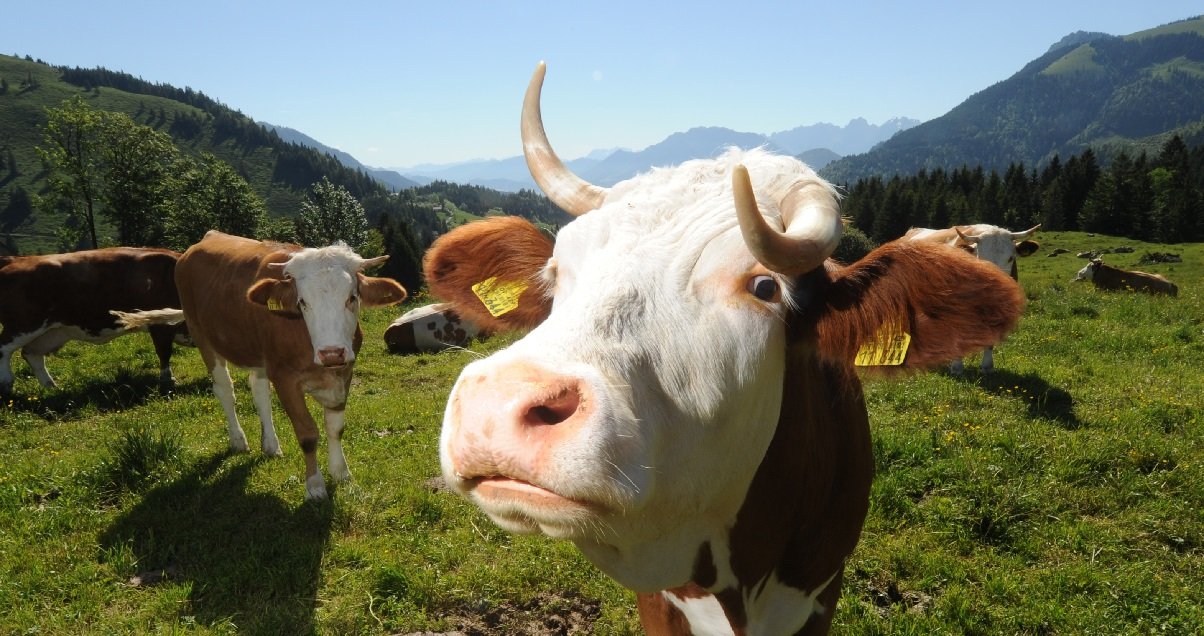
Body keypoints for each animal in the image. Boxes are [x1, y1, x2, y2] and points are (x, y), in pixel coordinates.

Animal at [0, 245, 187, 395]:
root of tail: (15, 259)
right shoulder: (160, 324)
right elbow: (164, 352)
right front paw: (168, 381)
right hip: (24, 324)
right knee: (4, 350)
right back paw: (7, 383)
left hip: (54, 331)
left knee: (31, 353)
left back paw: (52, 387)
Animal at [117, 231, 409, 498]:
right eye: (302, 302)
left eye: (351, 298)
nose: (331, 353)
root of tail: (203, 240)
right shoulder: (285, 378)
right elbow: (307, 433)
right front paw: (314, 486)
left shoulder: (344, 372)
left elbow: (336, 427)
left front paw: (341, 474)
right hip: (202, 335)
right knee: (225, 390)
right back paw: (238, 440)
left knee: (259, 392)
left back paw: (270, 444)